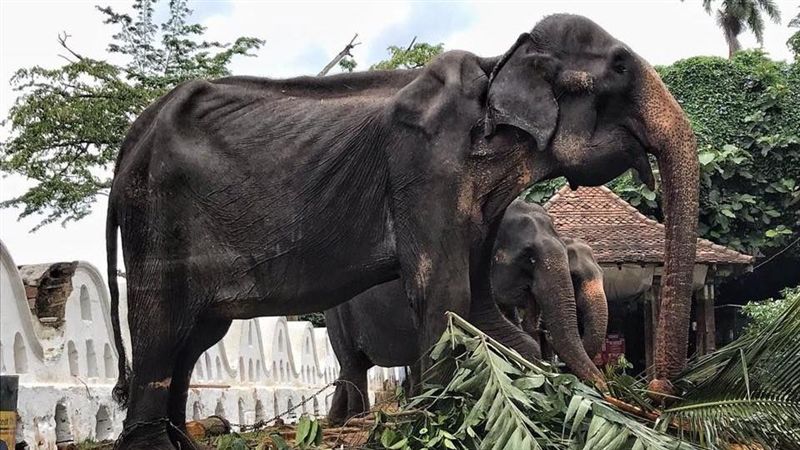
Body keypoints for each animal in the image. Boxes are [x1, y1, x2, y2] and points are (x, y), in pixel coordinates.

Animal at [324, 199, 608, 424]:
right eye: (529, 257)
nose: (607, 391)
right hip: (337, 315)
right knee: (353, 365)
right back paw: (358, 420)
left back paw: (337, 420)